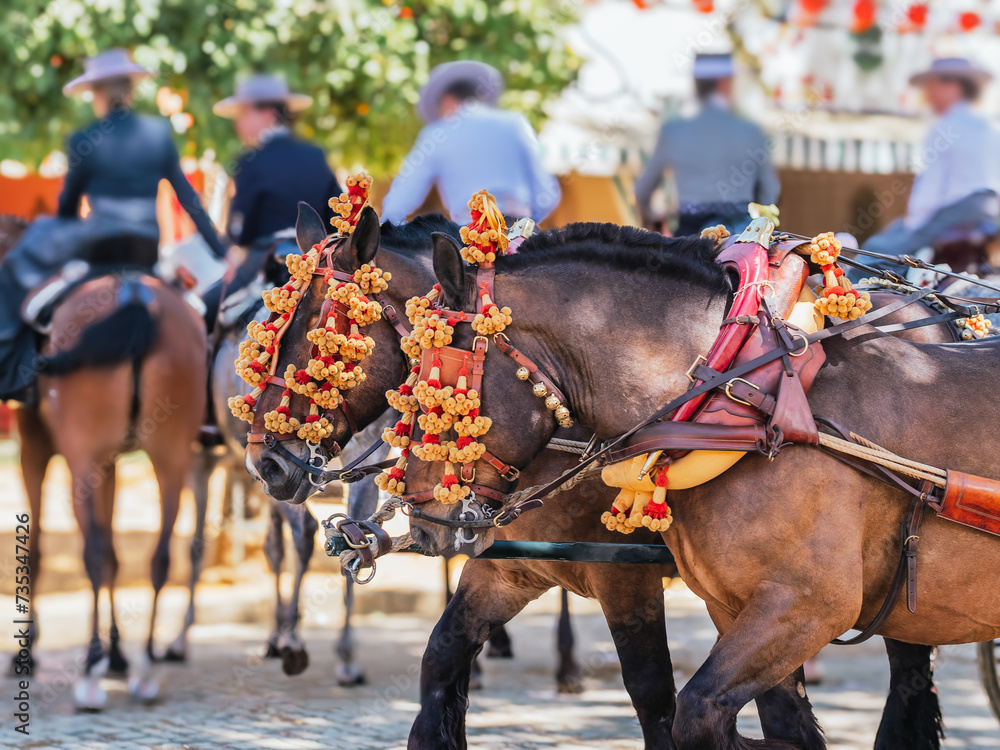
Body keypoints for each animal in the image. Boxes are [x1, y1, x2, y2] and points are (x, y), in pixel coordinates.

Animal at [245, 205, 951, 749]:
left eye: (324, 329)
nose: (268, 463)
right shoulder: (509, 567)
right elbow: (441, 659)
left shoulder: (623, 577)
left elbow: (654, 701)